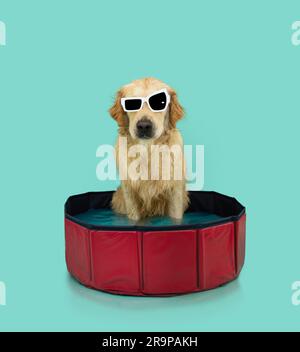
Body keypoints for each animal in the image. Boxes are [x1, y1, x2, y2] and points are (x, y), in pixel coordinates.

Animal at [109, 77, 189, 220]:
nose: (144, 126)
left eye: (160, 102)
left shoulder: (175, 192)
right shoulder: (129, 193)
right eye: (131, 103)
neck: (148, 150)